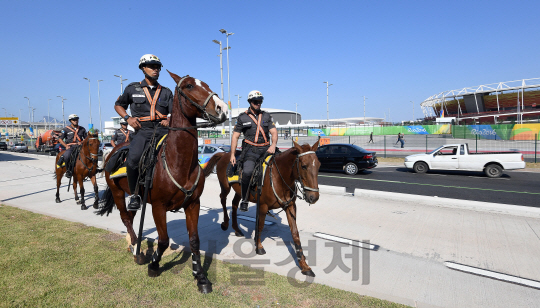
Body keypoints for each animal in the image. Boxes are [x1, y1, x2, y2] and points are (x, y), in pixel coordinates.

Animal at [97, 72, 226, 294]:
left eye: (207, 84)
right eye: (189, 86)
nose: (222, 108)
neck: (179, 162)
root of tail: (113, 150)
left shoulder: (193, 204)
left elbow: (194, 241)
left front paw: (200, 277)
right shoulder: (158, 207)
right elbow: (164, 240)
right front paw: (154, 265)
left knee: (131, 216)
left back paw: (136, 246)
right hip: (117, 192)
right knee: (125, 217)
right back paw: (137, 250)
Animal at [202, 141, 320, 276]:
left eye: (319, 165)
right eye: (304, 166)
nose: (314, 197)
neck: (278, 177)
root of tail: (225, 154)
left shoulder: (290, 207)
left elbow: (295, 233)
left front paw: (304, 265)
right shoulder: (263, 206)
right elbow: (260, 225)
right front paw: (258, 247)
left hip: (240, 191)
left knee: (234, 204)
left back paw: (237, 229)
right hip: (225, 186)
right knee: (223, 199)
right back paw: (225, 223)